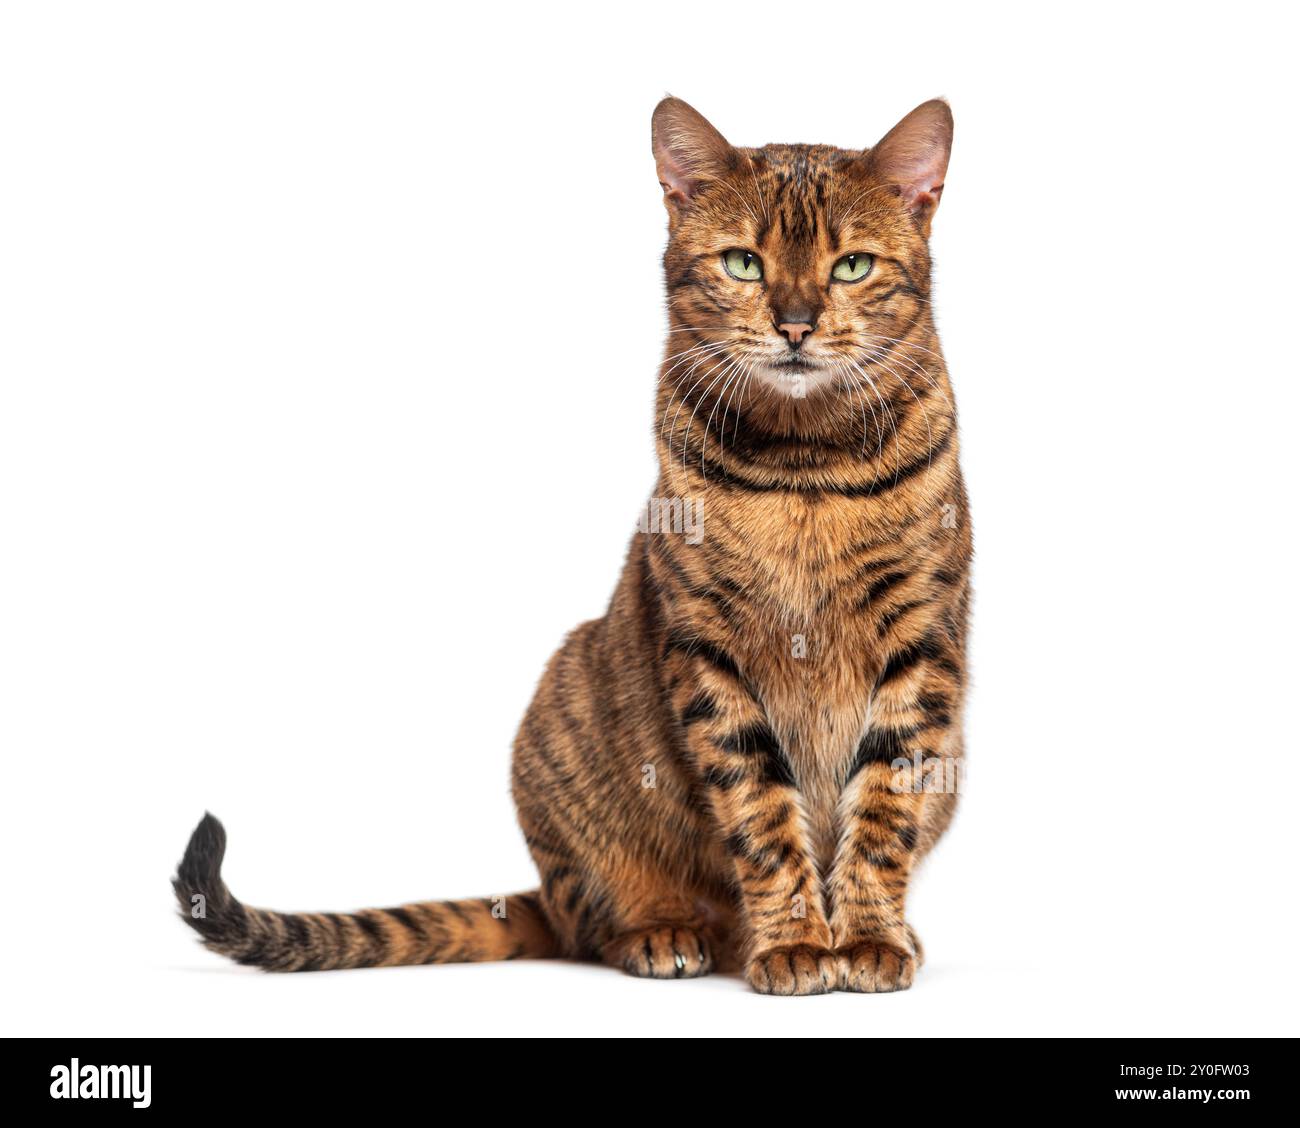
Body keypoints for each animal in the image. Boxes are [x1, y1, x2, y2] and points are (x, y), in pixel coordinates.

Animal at [172, 96, 972, 998]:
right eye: (742, 263)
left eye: (851, 267)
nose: (796, 324)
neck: (805, 466)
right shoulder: (707, 648)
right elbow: (761, 815)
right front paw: (797, 941)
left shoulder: (921, 644)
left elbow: (883, 809)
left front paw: (866, 935)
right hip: (566, 706)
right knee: (595, 919)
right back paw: (668, 932)